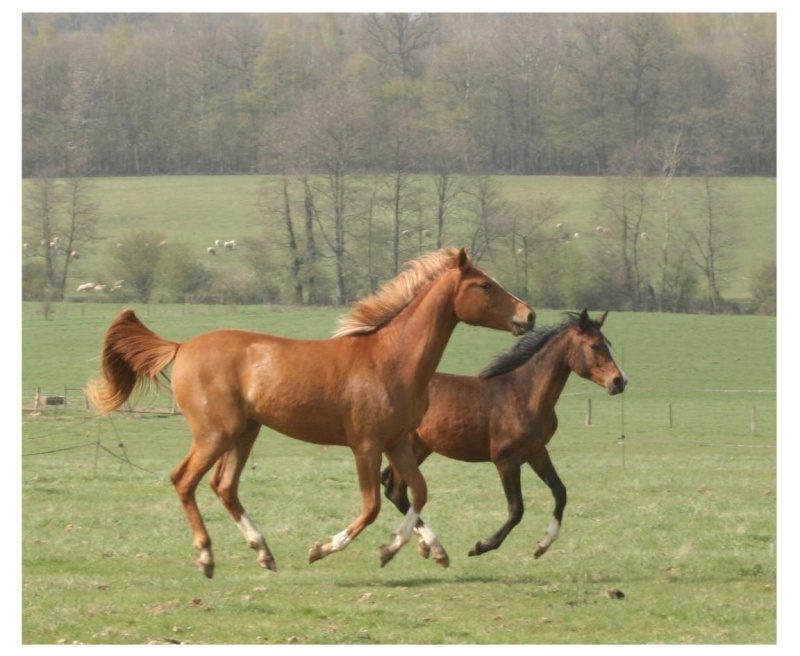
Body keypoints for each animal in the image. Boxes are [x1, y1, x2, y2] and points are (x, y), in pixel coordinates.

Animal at [87, 249, 536, 576]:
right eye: (484, 285)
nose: (528, 315)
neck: (391, 358)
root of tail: (181, 347)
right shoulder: (366, 445)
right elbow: (372, 506)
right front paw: (323, 548)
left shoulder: (397, 442)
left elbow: (417, 493)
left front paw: (415, 549)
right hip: (215, 433)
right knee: (185, 479)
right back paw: (207, 556)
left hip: (246, 432)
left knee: (224, 486)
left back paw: (264, 552)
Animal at [378, 310, 628, 560]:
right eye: (594, 345)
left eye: (609, 343)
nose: (620, 381)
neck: (524, 394)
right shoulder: (505, 459)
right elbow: (516, 509)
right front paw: (481, 546)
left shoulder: (536, 452)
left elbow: (560, 492)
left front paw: (542, 545)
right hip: (408, 447)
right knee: (396, 491)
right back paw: (428, 547)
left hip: (421, 448)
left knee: (392, 486)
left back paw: (424, 545)